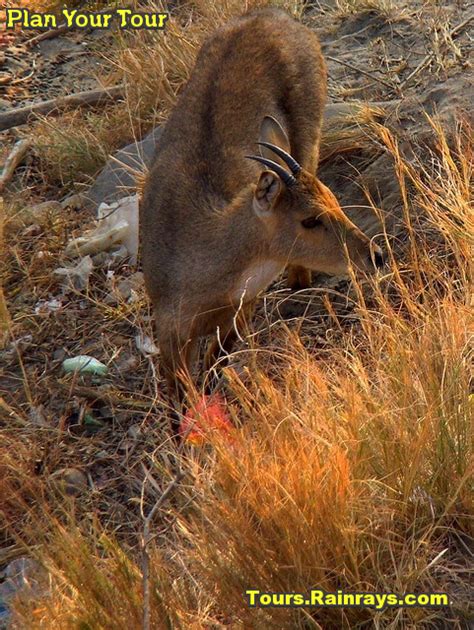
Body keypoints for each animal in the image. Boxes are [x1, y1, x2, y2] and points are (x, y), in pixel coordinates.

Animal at [139, 7, 384, 430]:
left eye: (335, 201)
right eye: (310, 219)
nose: (375, 255)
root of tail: (269, 14)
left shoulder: (240, 309)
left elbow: (214, 365)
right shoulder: (170, 329)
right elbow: (179, 393)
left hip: (310, 138)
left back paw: (299, 284)